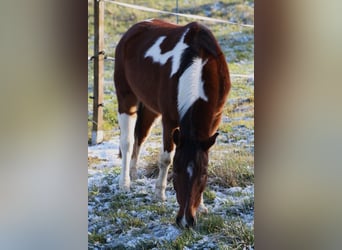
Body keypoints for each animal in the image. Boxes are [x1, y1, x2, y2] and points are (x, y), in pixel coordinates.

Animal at [114, 18, 230, 228]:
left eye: (203, 174)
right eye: (175, 173)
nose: (186, 221)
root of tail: (133, 30)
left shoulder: (215, 120)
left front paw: (202, 206)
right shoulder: (169, 120)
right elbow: (166, 158)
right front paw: (159, 194)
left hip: (149, 108)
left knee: (140, 137)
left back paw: (133, 173)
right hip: (126, 98)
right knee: (127, 142)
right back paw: (125, 183)